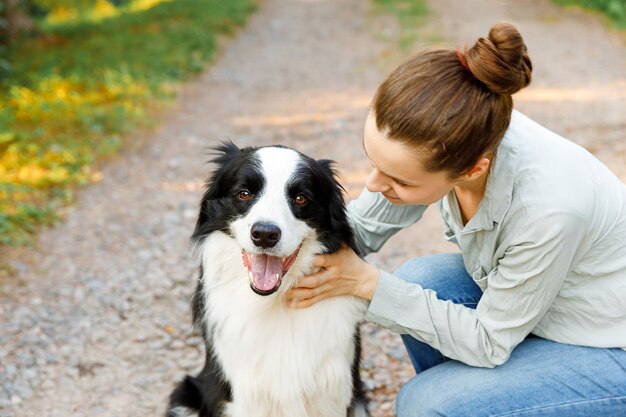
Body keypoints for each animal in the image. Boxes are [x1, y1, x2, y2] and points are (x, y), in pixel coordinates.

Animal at [166, 142, 368, 416]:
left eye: (300, 198)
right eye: (244, 194)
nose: (264, 234)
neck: (273, 302)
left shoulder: (334, 392)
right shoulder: (243, 397)